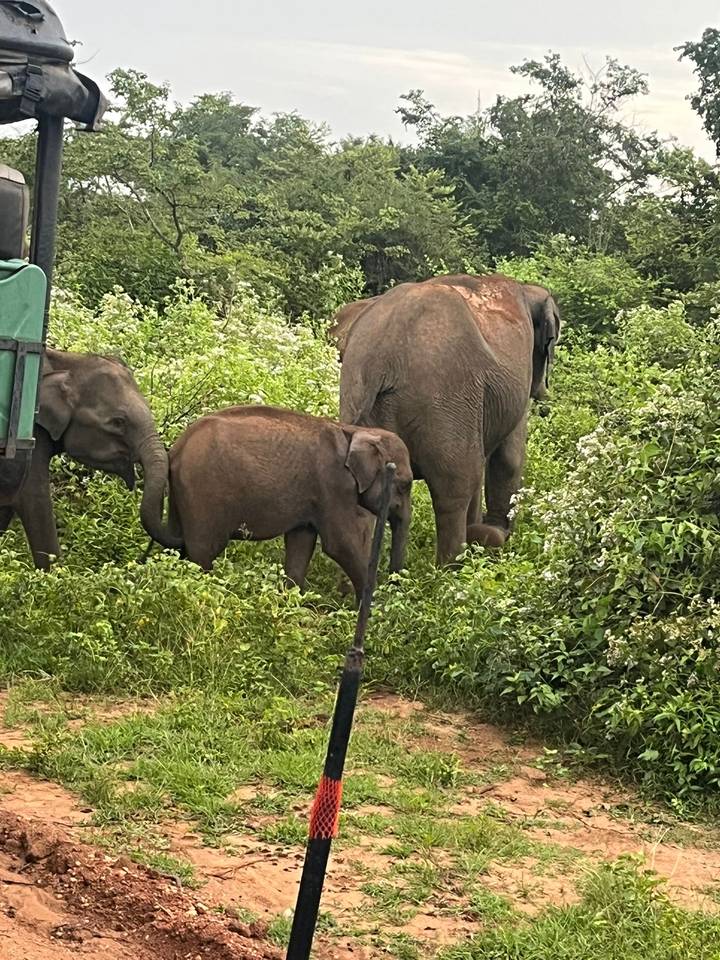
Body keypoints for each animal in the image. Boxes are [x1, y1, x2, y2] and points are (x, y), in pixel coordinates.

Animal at [149, 405, 413, 603]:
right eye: (405, 485)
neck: (357, 431)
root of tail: (177, 448)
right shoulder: (335, 485)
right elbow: (340, 545)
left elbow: (302, 541)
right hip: (203, 492)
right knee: (203, 552)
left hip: (183, 494)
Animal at [336, 273, 561, 564]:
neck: (526, 289)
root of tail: (382, 359)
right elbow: (509, 456)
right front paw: (496, 536)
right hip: (446, 397)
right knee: (456, 486)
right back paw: (452, 567)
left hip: (359, 395)